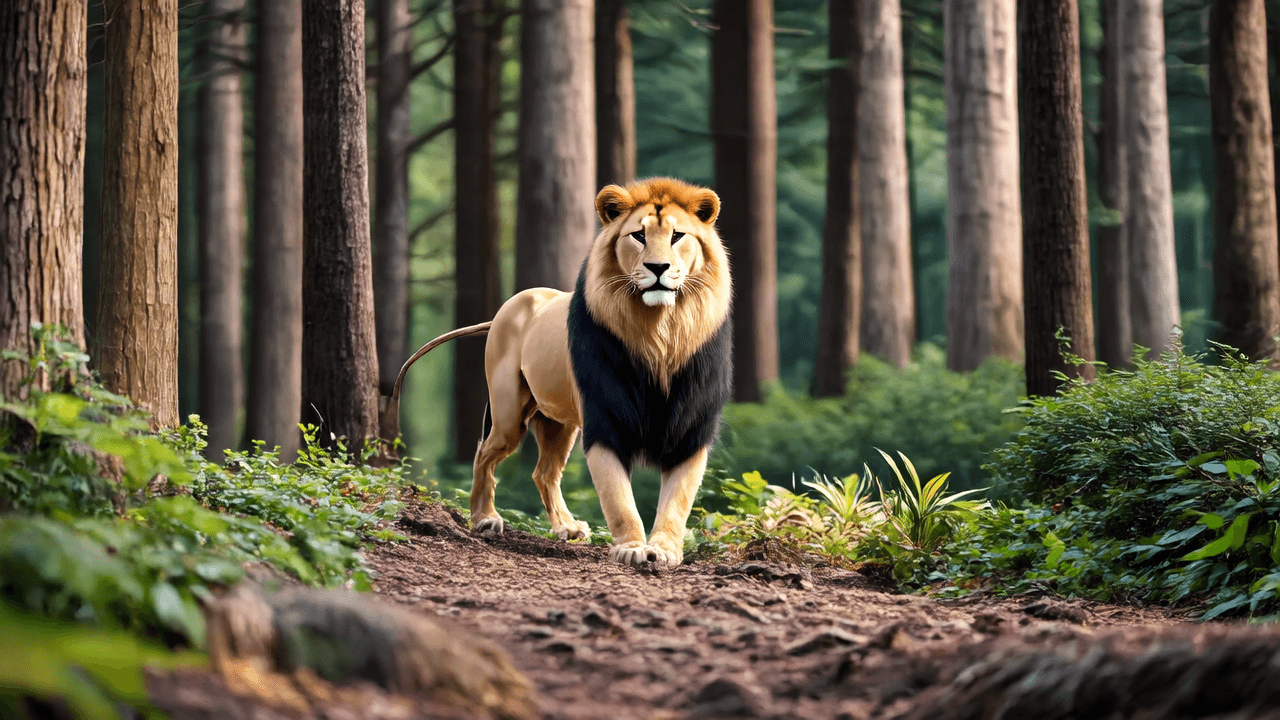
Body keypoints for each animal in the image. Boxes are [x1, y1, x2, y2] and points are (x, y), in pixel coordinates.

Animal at [383, 177, 732, 570]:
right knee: (484, 452)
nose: (657, 267)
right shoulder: (604, 420)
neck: (659, 334)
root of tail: (505, 308)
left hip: (559, 422)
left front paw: (665, 549)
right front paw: (631, 547)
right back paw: (483, 518)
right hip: (508, 414)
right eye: (639, 236)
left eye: (677, 236)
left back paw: (567, 527)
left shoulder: (692, 428)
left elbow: (678, 499)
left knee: (543, 472)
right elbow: (617, 496)